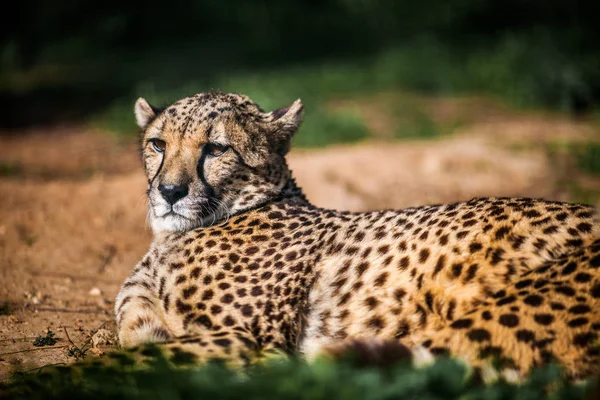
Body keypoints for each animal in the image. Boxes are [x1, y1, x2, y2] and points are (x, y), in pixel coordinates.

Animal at [113, 90, 600, 378]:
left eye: (216, 149)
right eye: (158, 144)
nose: (169, 192)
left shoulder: (246, 339)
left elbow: (117, 359)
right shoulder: (146, 325)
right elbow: (133, 346)